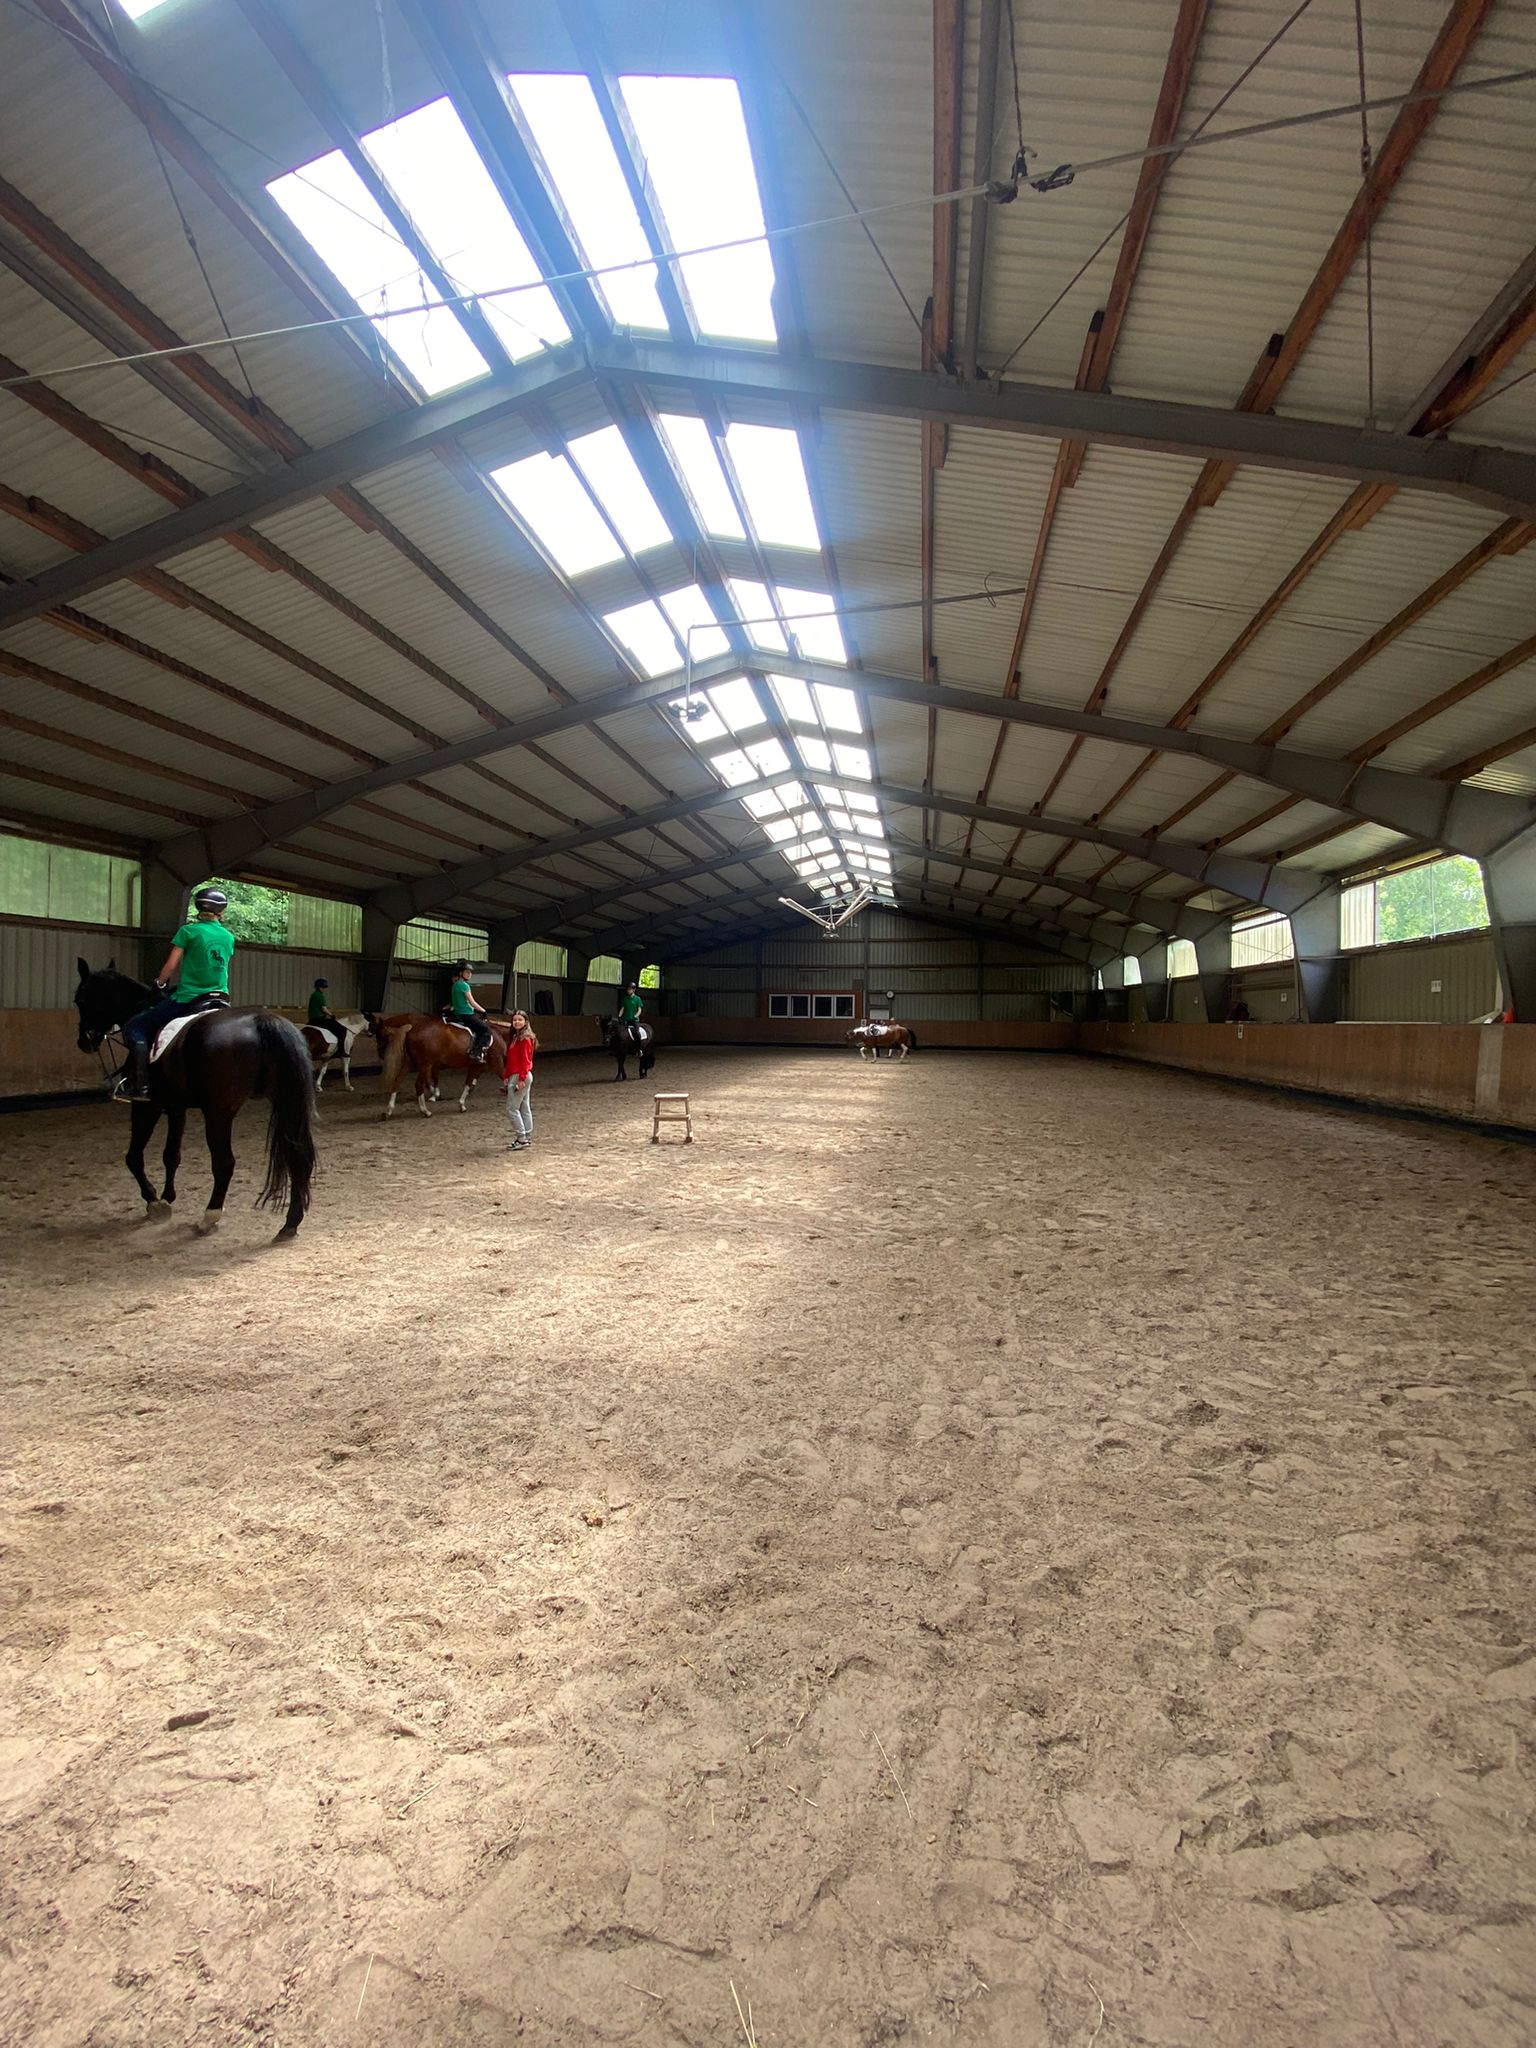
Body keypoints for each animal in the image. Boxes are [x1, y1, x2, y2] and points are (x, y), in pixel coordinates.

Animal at [74, 959, 318, 1239]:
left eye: (80, 999)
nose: (84, 1041)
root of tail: (262, 1020)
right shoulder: (176, 1106)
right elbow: (172, 1155)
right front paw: (167, 1197)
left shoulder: (147, 1105)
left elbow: (133, 1156)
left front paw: (154, 1201)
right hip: (286, 1102)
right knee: (297, 1156)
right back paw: (290, 1223)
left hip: (219, 1112)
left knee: (224, 1163)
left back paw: (209, 1217)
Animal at [368, 1011, 509, 1118]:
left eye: (380, 1035)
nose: (380, 1054)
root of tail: (411, 1031)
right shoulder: (496, 1062)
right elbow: (505, 1078)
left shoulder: (476, 1066)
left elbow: (468, 1084)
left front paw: (461, 1104)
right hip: (425, 1064)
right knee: (418, 1084)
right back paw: (425, 1111)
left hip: (410, 1063)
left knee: (398, 1081)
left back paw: (388, 1111)